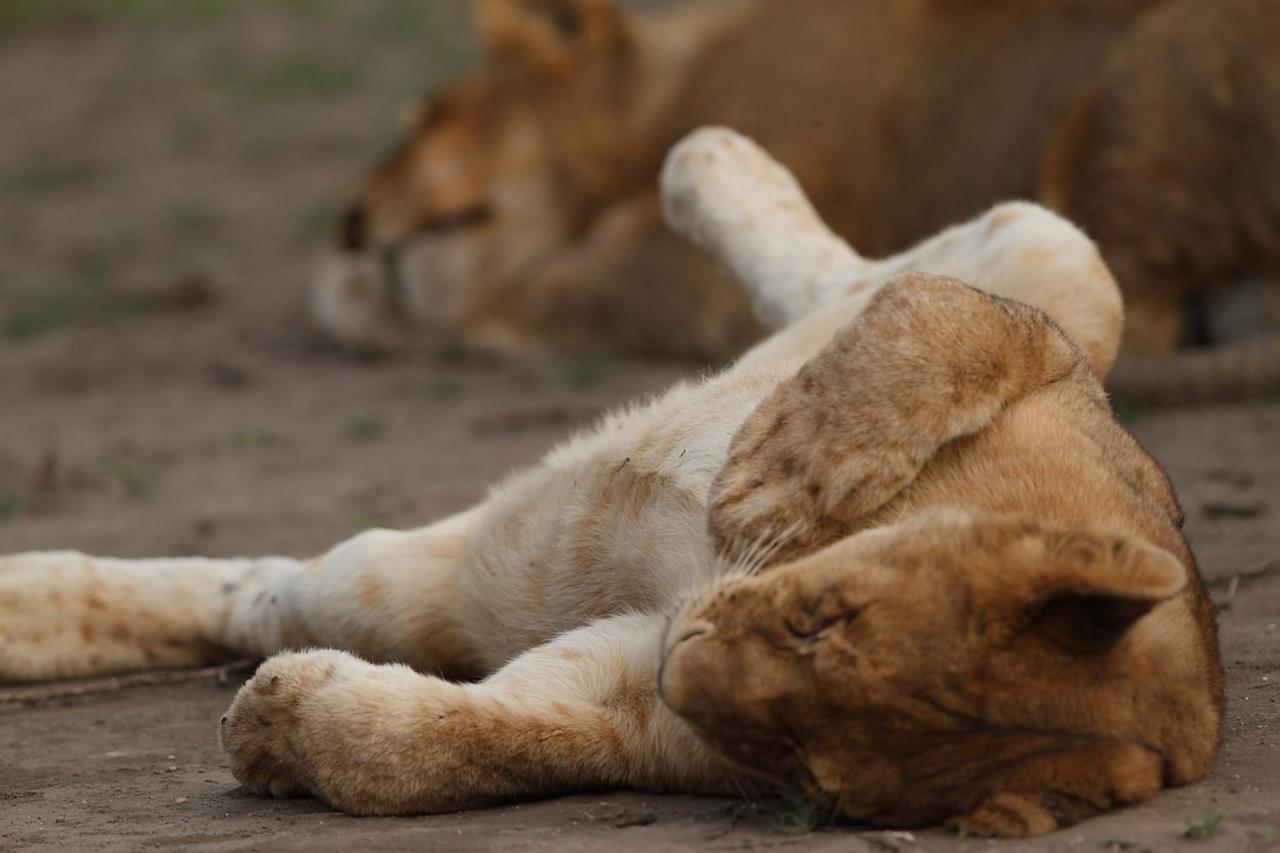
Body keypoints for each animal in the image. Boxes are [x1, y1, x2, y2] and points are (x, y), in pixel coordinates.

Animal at [312, 0, 1280, 402]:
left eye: (432, 115)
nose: (351, 222)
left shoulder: (685, 268)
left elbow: (532, 288)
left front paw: (368, 302)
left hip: (1141, 74)